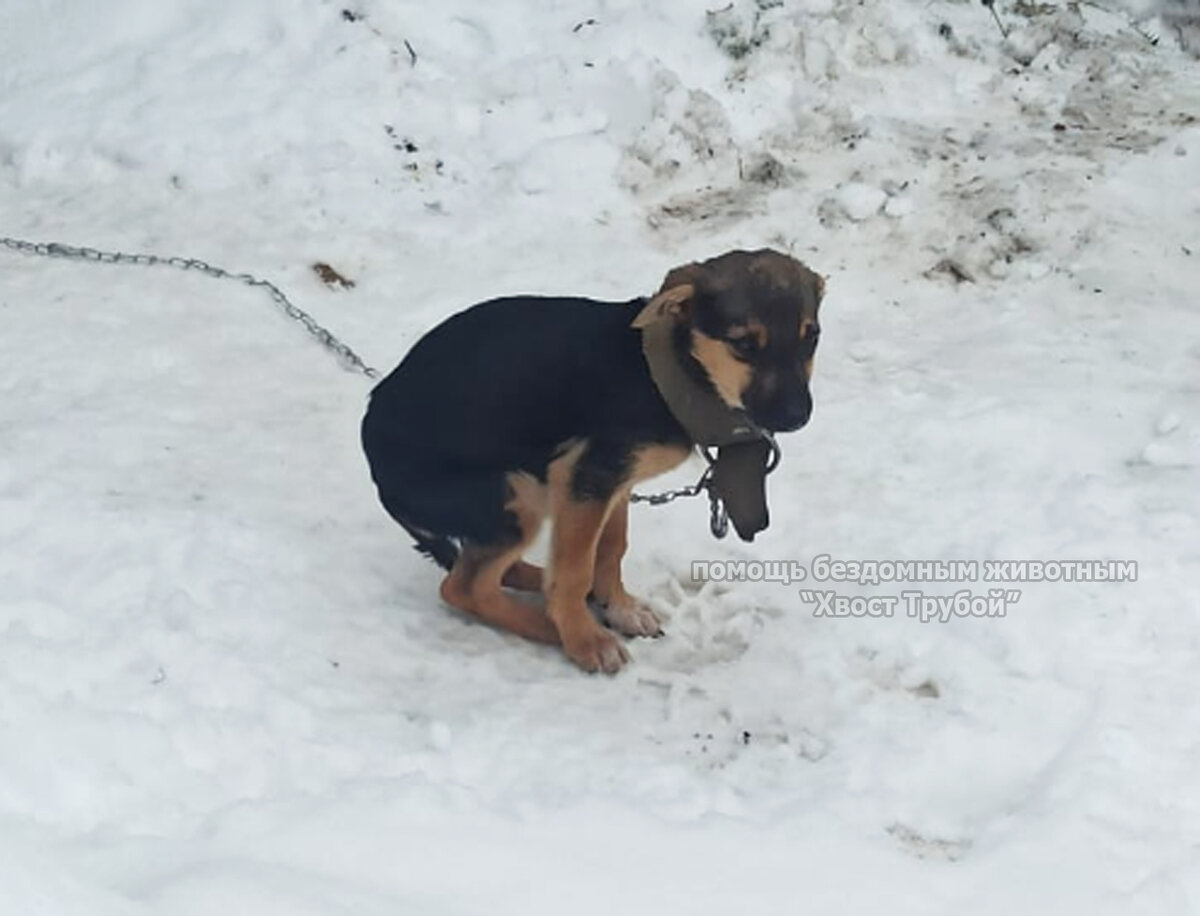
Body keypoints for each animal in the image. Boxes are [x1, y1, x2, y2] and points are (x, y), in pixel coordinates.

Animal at [360, 248, 820, 672]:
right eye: (743, 344)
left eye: (811, 338)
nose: (798, 417)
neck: (665, 374)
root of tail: (377, 469)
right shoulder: (585, 475)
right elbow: (575, 567)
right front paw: (584, 639)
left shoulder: (610, 483)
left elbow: (611, 547)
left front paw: (618, 608)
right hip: (517, 495)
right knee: (465, 587)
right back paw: (550, 625)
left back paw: (538, 583)